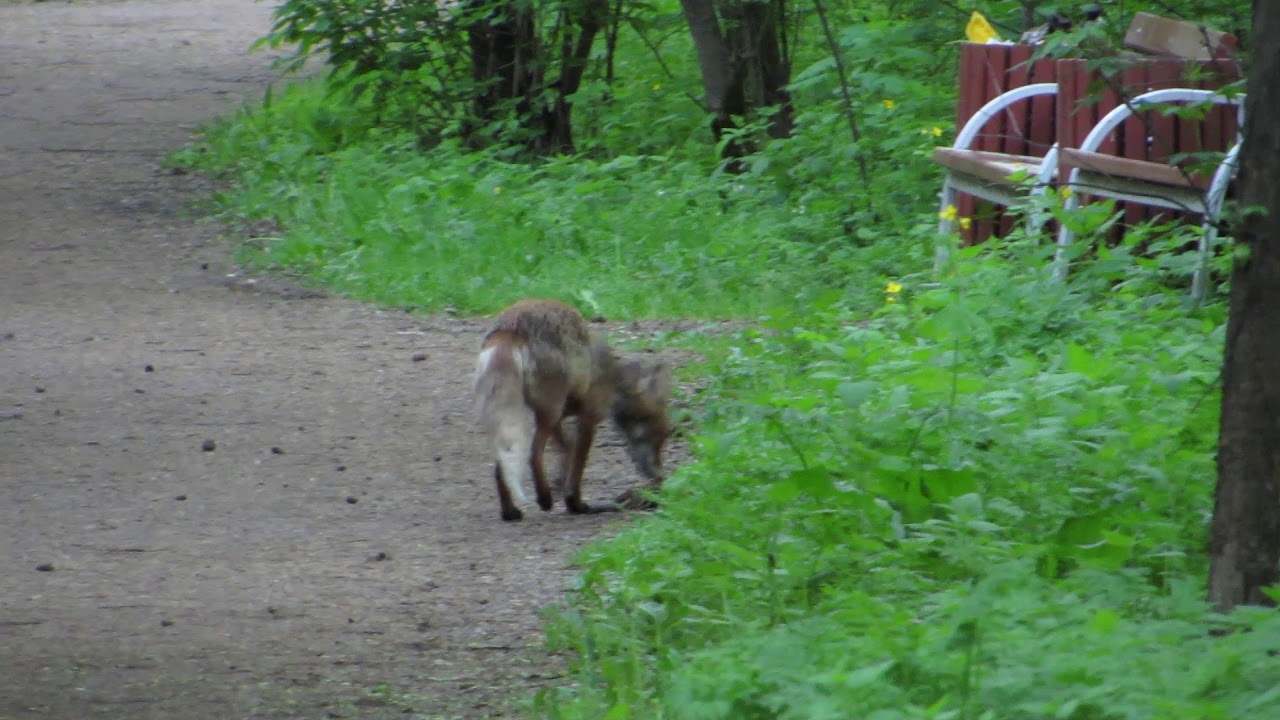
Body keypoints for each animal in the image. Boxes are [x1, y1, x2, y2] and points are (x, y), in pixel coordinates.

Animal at [473, 299, 673, 522]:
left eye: (665, 436)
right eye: (657, 435)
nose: (659, 475)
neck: (611, 380)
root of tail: (510, 326)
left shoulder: (560, 417)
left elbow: (567, 449)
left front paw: (562, 481)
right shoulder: (588, 417)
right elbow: (578, 462)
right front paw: (575, 503)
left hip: (529, 415)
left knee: (503, 463)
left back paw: (510, 512)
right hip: (548, 412)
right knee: (533, 454)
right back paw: (544, 498)